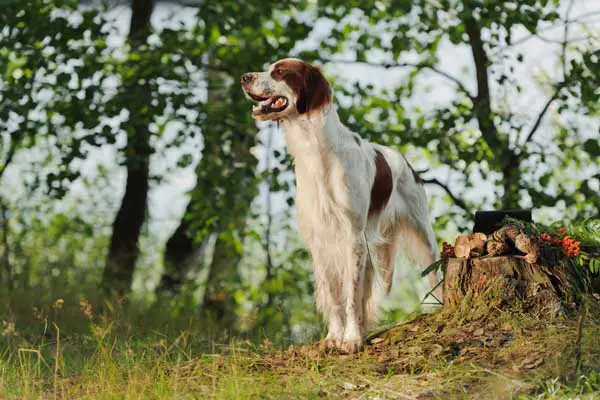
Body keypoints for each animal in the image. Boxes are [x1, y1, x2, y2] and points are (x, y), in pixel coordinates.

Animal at [239, 58, 440, 354]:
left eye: (280, 71)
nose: (244, 77)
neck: (316, 150)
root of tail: (402, 159)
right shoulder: (321, 239)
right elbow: (335, 296)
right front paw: (334, 337)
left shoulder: (352, 237)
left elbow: (352, 295)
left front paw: (352, 339)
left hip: (423, 234)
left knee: (435, 274)